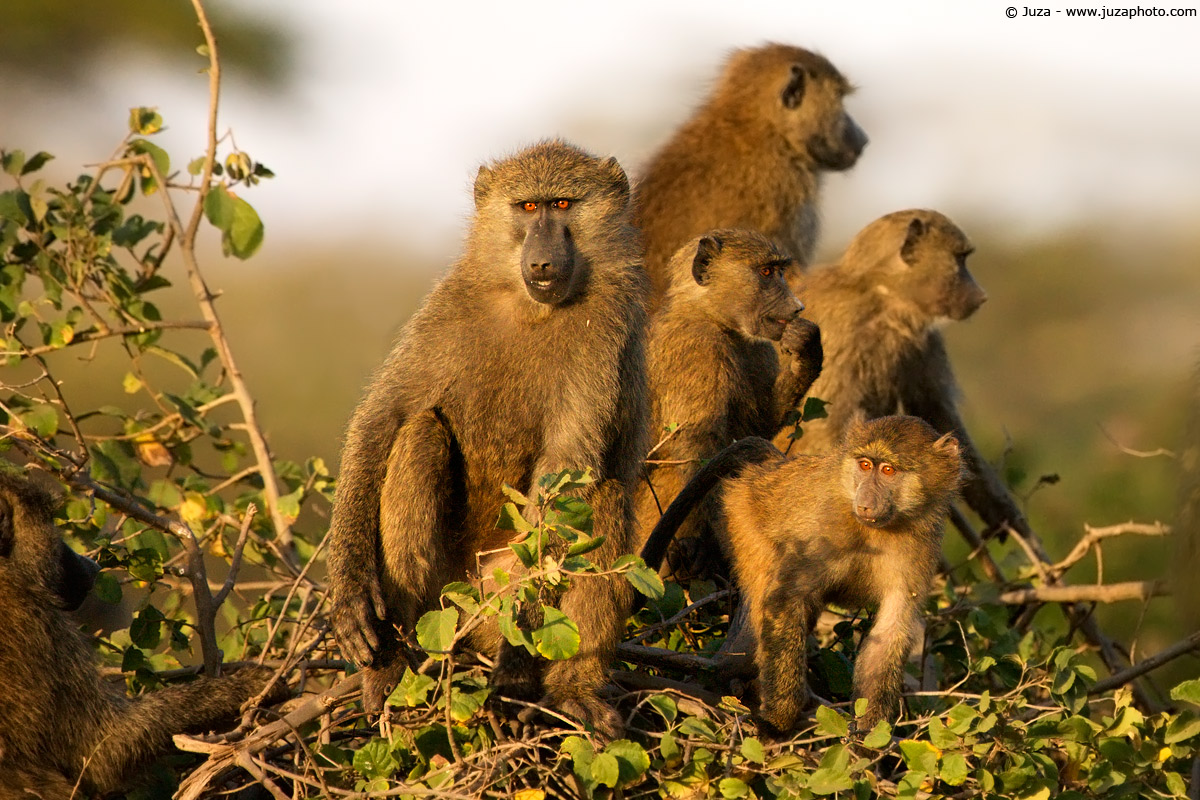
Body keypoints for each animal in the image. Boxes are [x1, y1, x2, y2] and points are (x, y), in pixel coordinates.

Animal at [325, 140, 648, 739]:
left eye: (563, 204)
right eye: (527, 207)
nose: (542, 259)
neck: (532, 306)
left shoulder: (604, 331)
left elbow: (568, 474)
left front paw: (519, 669)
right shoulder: (448, 308)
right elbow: (383, 419)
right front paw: (351, 596)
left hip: (496, 601)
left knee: (604, 496)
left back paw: (571, 691)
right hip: (448, 599)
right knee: (421, 433)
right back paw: (393, 667)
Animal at [633, 229, 822, 578]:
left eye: (779, 271)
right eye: (766, 272)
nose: (797, 307)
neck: (709, 315)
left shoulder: (758, 347)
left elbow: (757, 427)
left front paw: (806, 351)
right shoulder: (697, 349)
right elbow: (699, 446)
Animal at [639, 415, 964, 736]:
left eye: (888, 470)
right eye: (865, 465)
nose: (865, 503)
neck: (878, 530)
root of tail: (771, 468)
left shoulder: (919, 550)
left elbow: (889, 632)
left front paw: (869, 738)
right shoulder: (822, 530)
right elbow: (784, 596)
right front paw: (778, 719)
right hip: (741, 514)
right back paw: (732, 673)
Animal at [772, 209, 1029, 539]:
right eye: (960, 259)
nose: (981, 296)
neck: (881, 298)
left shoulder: (922, 341)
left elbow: (936, 417)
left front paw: (1005, 517)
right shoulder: (840, 332)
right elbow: (827, 428)